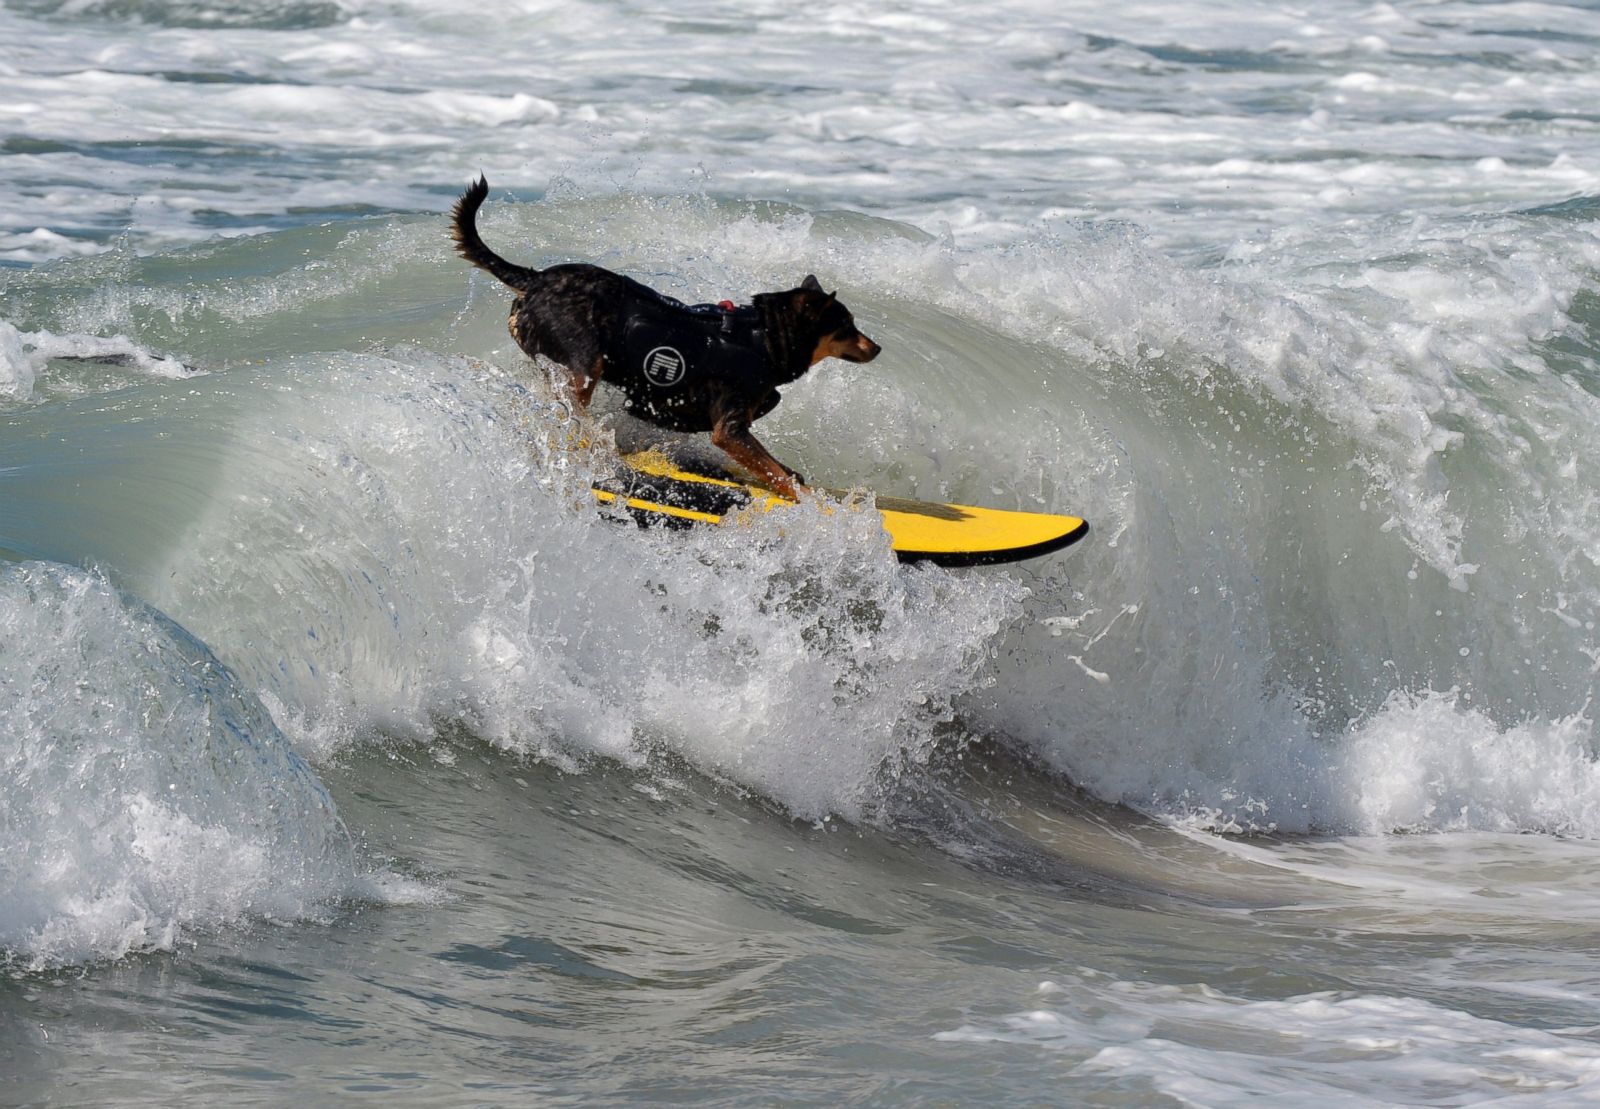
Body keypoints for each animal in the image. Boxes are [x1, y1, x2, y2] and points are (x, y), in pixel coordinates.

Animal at [451, 175, 883, 496]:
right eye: (847, 326)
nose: (877, 347)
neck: (761, 338)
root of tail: (534, 278)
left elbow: (776, 467)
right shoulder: (730, 431)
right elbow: (771, 469)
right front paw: (807, 499)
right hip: (585, 363)